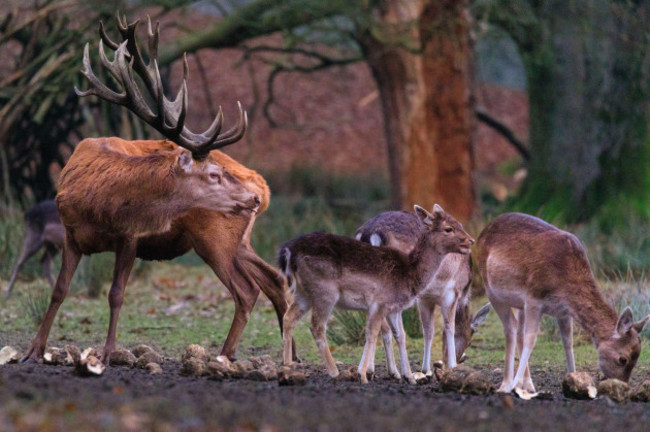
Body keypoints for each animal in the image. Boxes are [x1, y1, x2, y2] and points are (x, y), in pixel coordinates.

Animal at [20, 14, 294, 364]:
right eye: (213, 175)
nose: (253, 197)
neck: (98, 205)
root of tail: (263, 183)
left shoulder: (130, 237)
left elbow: (116, 293)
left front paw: (108, 353)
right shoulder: (70, 234)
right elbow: (58, 290)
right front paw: (34, 350)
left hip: (215, 238)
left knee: (246, 290)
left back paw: (224, 354)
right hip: (238, 240)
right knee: (274, 280)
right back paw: (289, 356)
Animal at [278, 204, 470, 384]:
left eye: (459, 223)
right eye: (448, 228)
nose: (470, 241)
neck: (409, 273)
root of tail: (287, 251)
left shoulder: (393, 307)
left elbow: (400, 335)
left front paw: (409, 377)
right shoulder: (380, 302)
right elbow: (372, 333)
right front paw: (363, 375)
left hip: (303, 294)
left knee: (288, 318)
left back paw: (288, 367)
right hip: (325, 292)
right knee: (317, 326)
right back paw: (334, 371)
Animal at [356, 212, 488, 374]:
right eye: (470, 341)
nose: (459, 359)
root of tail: (371, 233)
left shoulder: (425, 297)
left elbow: (428, 331)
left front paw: (427, 368)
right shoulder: (450, 293)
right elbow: (448, 327)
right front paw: (450, 366)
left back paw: (371, 369)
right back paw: (392, 370)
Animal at [476, 211, 648, 394]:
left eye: (637, 358)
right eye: (623, 359)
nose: (624, 386)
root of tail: (481, 233)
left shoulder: (563, 311)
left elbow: (567, 341)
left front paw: (575, 380)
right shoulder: (533, 298)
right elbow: (531, 338)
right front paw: (516, 385)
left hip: (518, 303)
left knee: (518, 330)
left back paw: (528, 384)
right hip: (491, 291)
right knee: (510, 328)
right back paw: (507, 384)